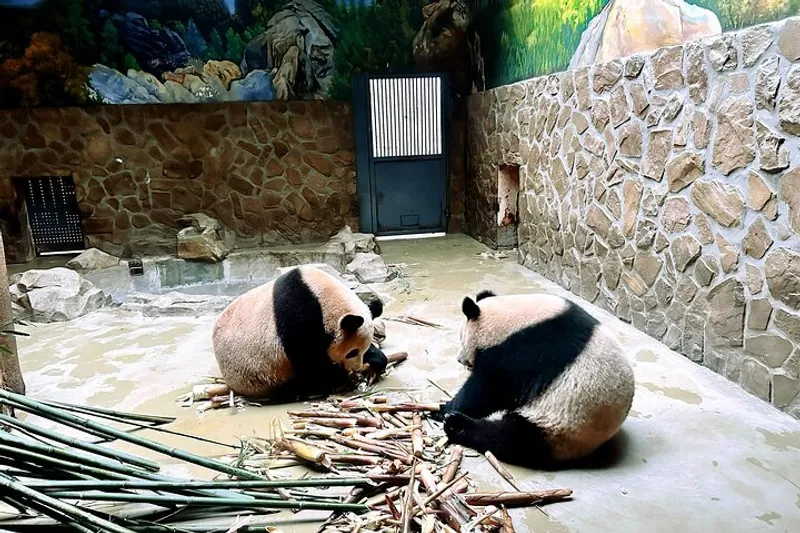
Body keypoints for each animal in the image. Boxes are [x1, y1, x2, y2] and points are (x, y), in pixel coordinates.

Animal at [212, 265, 389, 400]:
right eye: (352, 352)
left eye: (361, 350)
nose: (357, 367)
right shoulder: (299, 318)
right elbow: (310, 361)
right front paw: (340, 376)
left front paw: (377, 359)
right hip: (255, 375)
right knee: (294, 384)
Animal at [436, 289, 635, 469]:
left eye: (461, 338)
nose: (459, 359)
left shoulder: (528, 351)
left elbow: (490, 388)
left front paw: (444, 409)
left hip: (564, 424)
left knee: (514, 439)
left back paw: (457, 425)